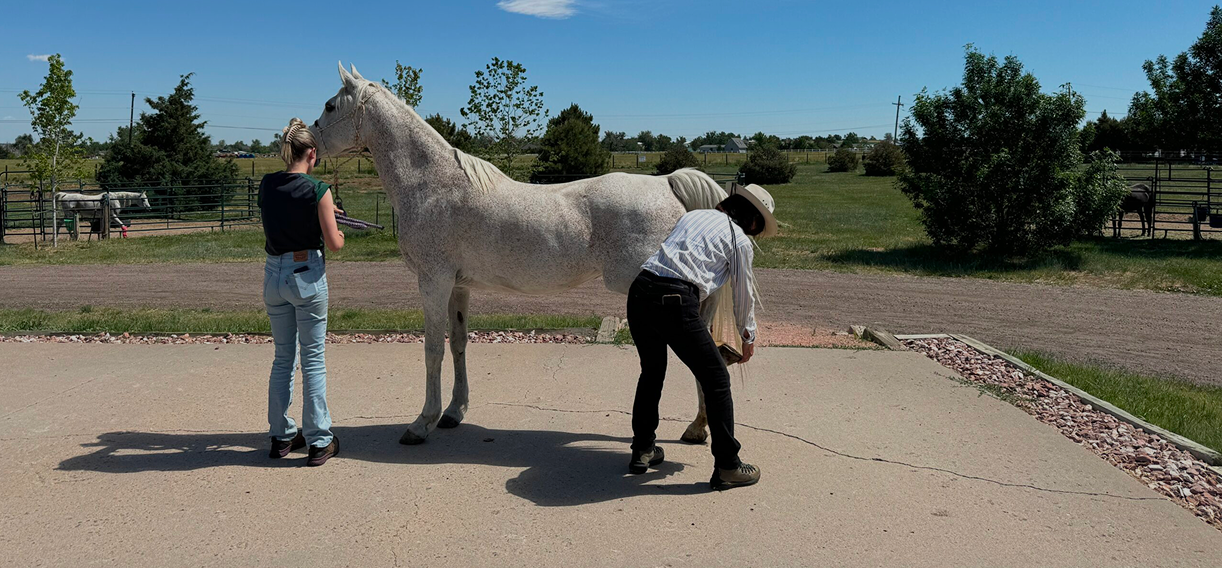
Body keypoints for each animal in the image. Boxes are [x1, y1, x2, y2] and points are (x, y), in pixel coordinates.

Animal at [311, 63, 742, 445]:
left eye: (330, 106)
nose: (309, 140)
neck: (433, 184)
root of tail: (668, 184)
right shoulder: (458, 286)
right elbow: (458, 342)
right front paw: (453, 412)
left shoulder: (433, 281)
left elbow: (433, 348)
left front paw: (421, 424)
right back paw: (698, 427)